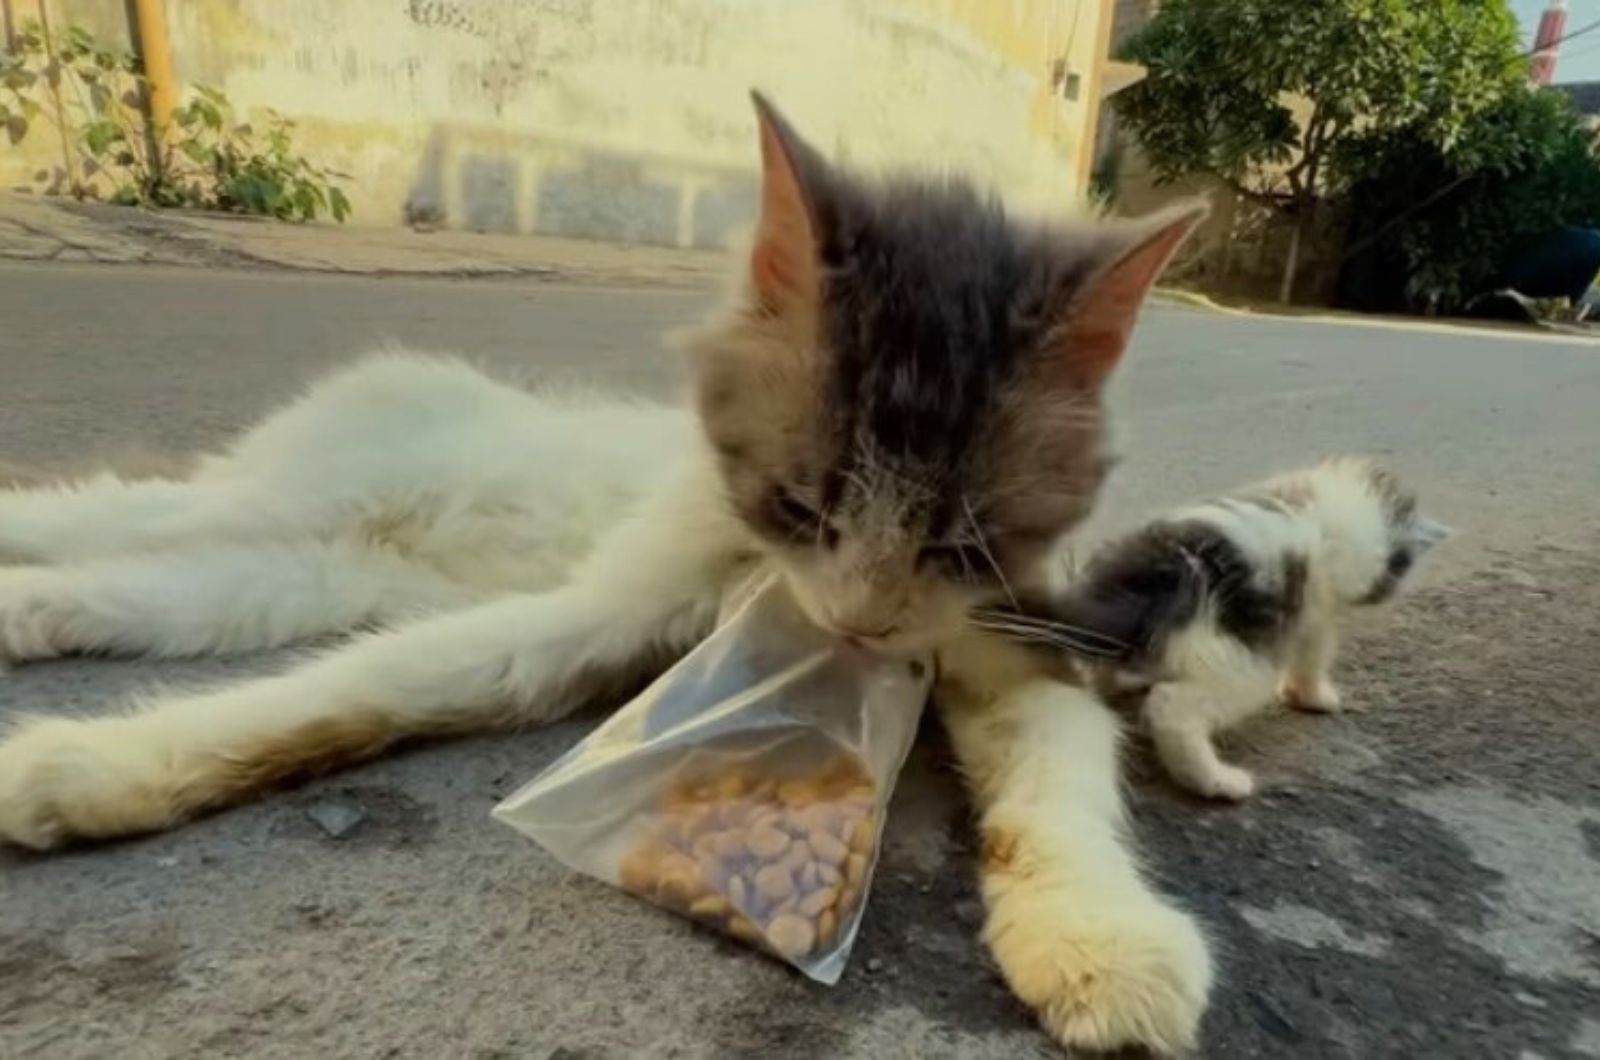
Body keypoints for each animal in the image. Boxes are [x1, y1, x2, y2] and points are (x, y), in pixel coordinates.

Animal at [0, 97, 1209, 1056]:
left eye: (958, 547)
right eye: (802, 507)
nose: (861, 626)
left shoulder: (1025, 643)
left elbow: (1060, 785)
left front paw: (1103, 938)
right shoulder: (599, 610)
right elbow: (349, 689)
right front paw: (87, 764)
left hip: (306, 573)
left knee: (167, 580)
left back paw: (33, 611)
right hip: (304, 490)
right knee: (123, 506)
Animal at [972, 454, 1452, 797]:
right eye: (1401, 568)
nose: (1392, 588)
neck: (1328, 509)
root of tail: (1168, 563)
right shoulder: (1313, 612)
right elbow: (1314, 656)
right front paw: (1317, 698)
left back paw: (1121, 684)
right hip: (1237, 659)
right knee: (1173, 710)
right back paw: (1216, 782)